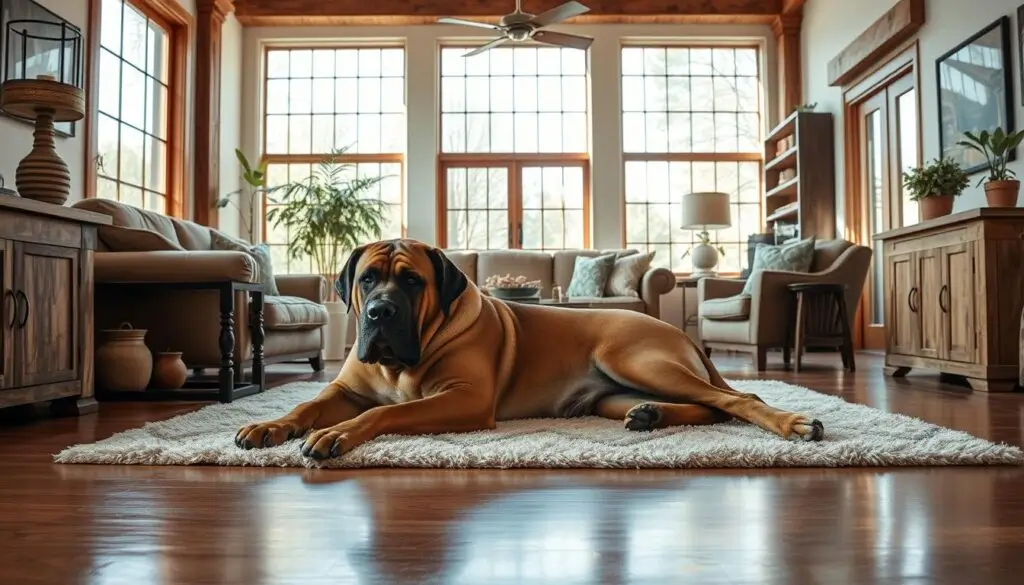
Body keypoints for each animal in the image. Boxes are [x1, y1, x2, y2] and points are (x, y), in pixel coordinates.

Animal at [234, 240, 823, 461]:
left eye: (413, 282)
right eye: (368, 279)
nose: (379, 313)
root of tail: (675, 333)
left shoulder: (464, 399)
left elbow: (388, 413)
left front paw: (334, 434)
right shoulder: (346, 389)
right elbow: (307, 402)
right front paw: (269, 425)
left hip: (634, 357)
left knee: (740, 398)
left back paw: (794, 422)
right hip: (610, 394)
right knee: (709, 404)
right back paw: (649, 415)